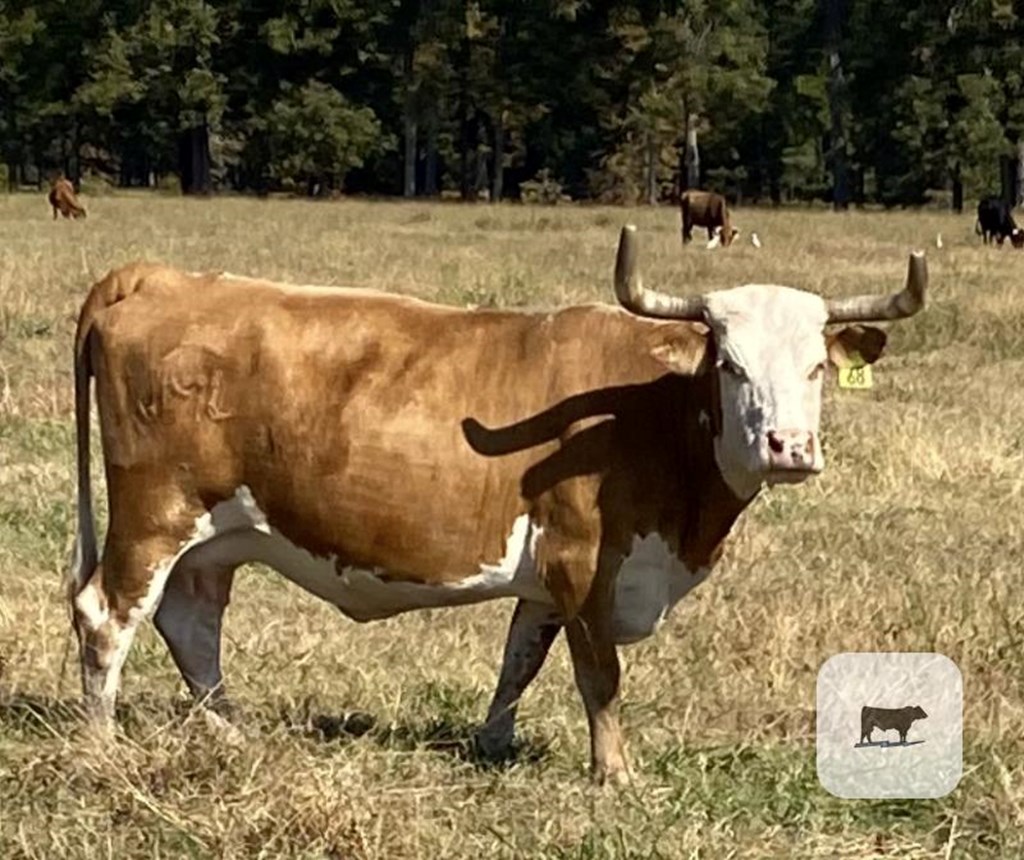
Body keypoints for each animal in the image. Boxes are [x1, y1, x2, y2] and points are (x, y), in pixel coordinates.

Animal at [68, 226, 925, 778]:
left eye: (817, 366)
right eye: (731, 365)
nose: (788, 446)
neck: (650, 409)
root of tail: (160, 275)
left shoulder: (548, 573)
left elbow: (522, 657)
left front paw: (493, 742)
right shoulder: (584, 560)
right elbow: (598, 673)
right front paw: (614, 774)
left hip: (220, 535)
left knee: (191, 623)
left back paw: (232, 732)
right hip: (156, 513)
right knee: (107, 614)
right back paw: (103, 746)